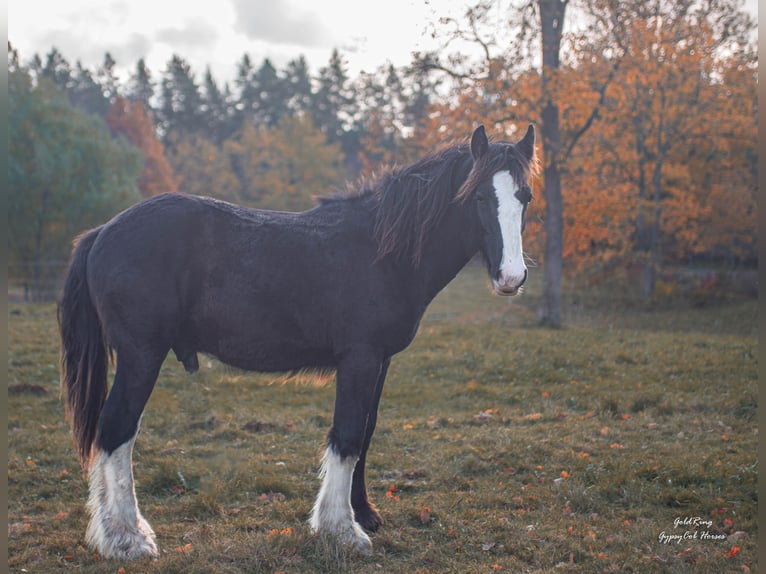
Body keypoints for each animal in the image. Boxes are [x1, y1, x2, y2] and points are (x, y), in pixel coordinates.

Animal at [57, 124, 536, 560]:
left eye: (525, 197)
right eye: (478, 198)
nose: (511, 277)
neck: (381, 250)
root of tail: (102, 232)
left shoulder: (380, 362)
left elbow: (366, 432)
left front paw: (363, 513)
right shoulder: (359, 358)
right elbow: (346, 435)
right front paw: (341, 530)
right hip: (141, 356)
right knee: (116, 429)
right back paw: (126, 539)